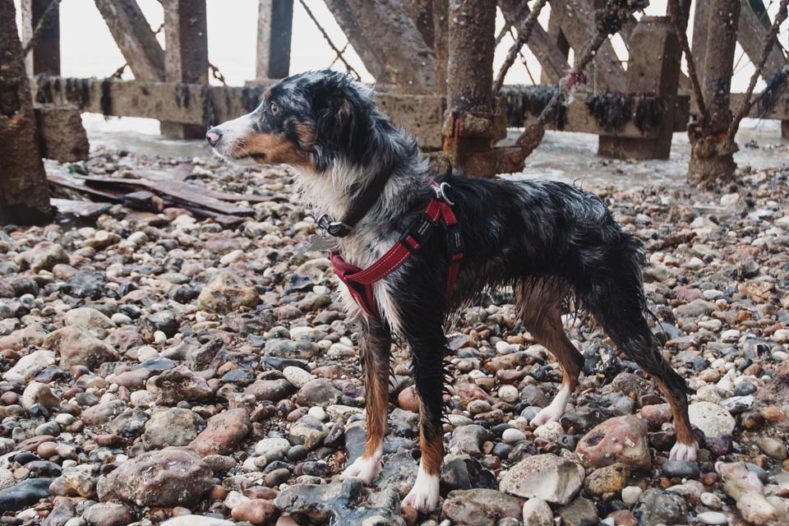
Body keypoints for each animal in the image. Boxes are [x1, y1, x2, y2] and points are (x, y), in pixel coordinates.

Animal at [206, 70, 700, 516]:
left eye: (275, 109)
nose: (211, 133)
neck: (373, 201)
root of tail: (601, 209)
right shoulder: (371, 328)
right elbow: (375, 407)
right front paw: (367, 465)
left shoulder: (423, 332)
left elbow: (428, 419)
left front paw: (425, 488)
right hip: (536, 311)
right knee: (576, 360)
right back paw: (551, 416)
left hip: (617, 310)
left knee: (672, 380)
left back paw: (686, 447)